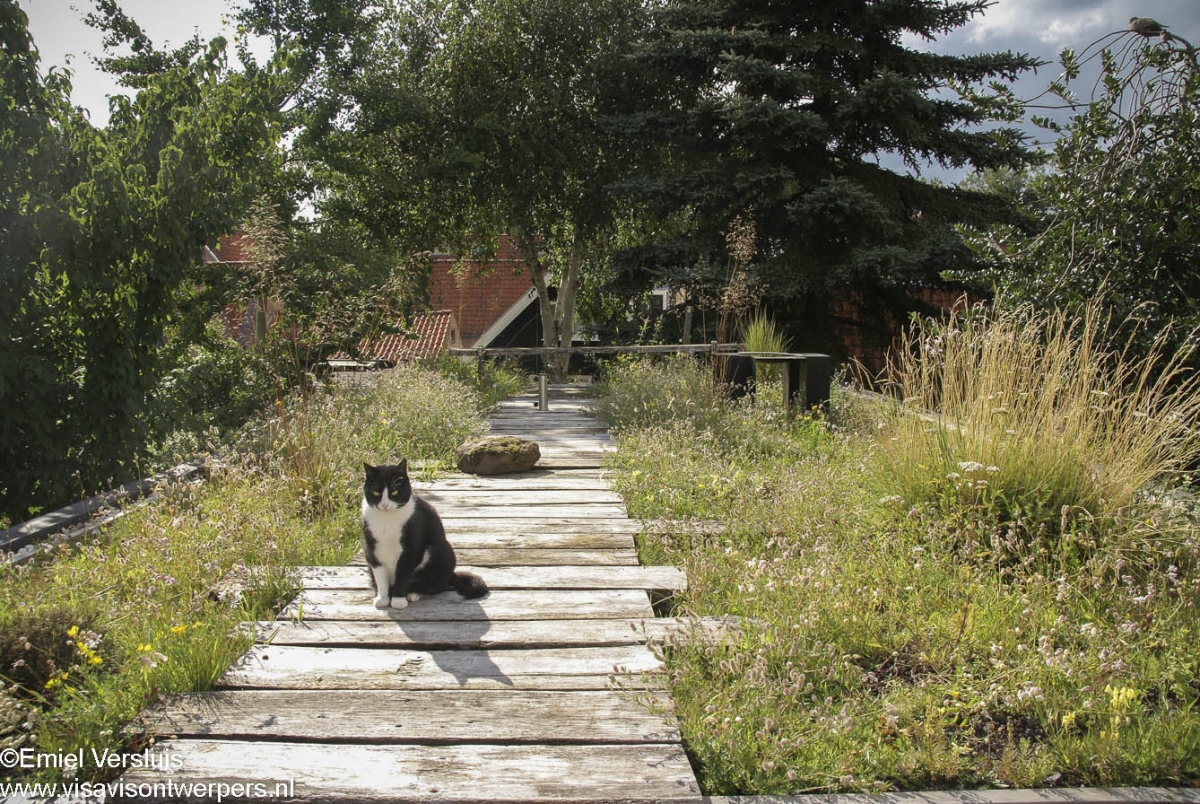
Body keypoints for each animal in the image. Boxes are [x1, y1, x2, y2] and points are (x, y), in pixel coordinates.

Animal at [360, 460, 487, 612]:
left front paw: (398, 600)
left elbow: (402, 574)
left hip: (444, 555)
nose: (385, 505)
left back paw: (413, 593)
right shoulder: (371, 549)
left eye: (394, 491)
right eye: (376, 492)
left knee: (436, 585)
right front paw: (382, 598)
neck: (387, 520)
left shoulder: (411, 548)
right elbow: (380, 576)